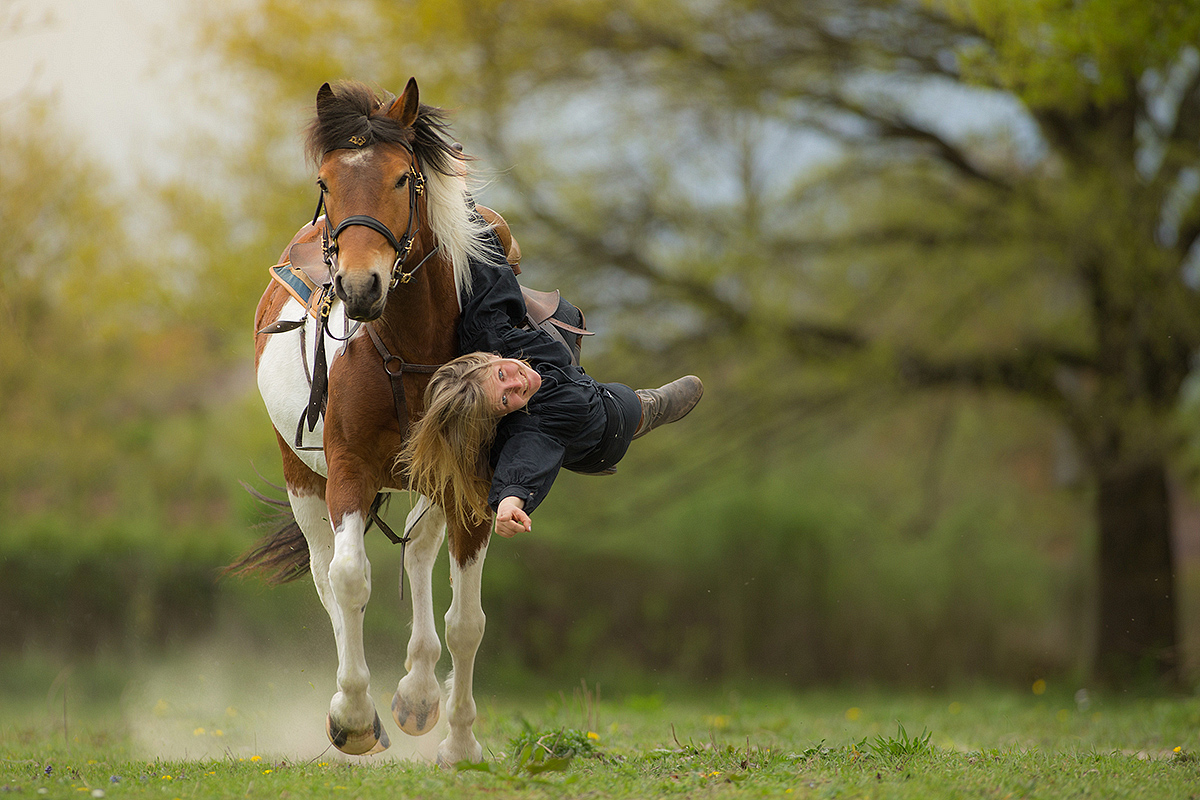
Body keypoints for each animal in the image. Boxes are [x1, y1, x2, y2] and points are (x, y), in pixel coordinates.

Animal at [231, 77, 494, 767]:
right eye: (326, 182)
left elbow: (466, 622)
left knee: (419, 556)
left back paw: (419, 695)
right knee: (329, 577)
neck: (405, 349)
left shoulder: (470, 486)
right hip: (302, 478)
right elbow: (349, 581)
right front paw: (351, 717)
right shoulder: (347, 473)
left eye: (404, 177)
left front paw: (459, 739)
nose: (358, 285)